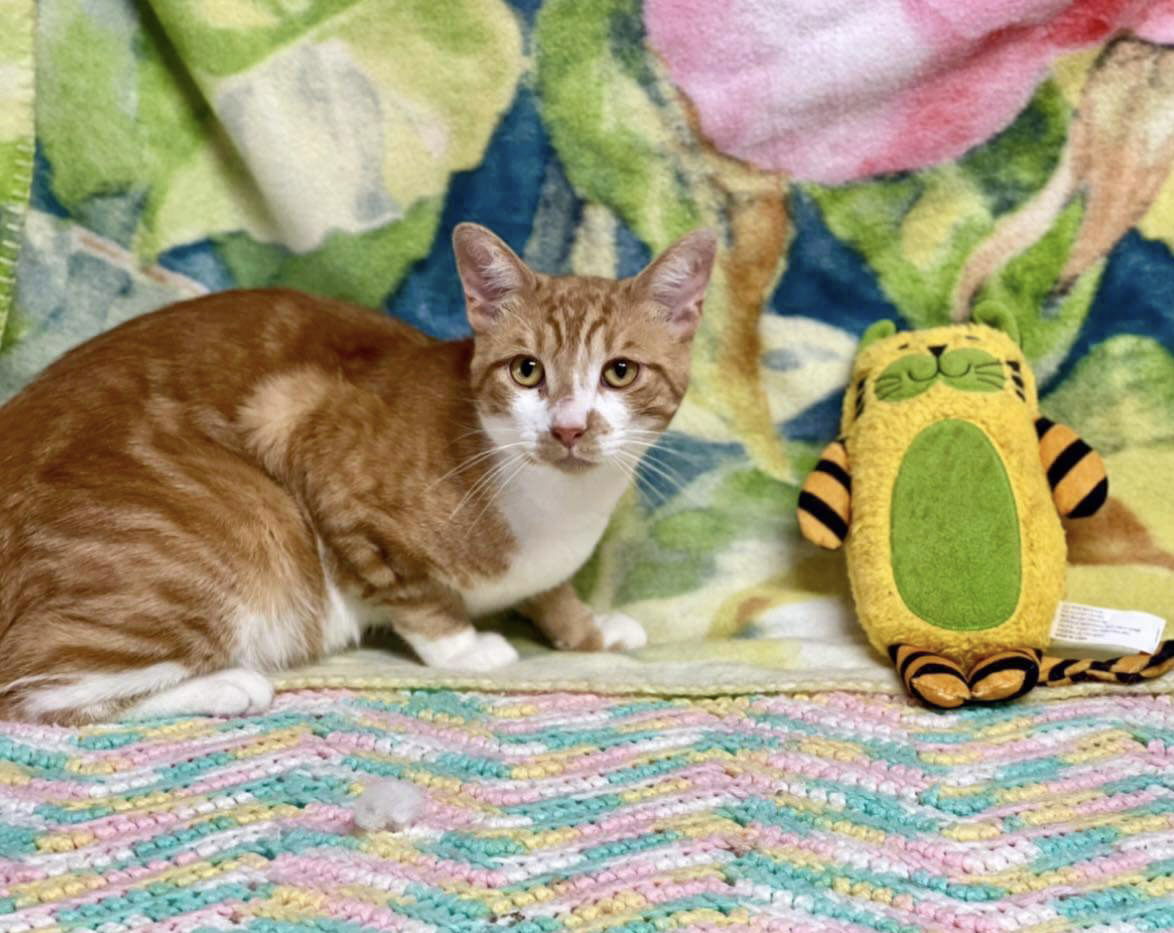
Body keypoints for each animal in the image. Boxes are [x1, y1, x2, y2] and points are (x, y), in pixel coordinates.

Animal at [0, 222, 713, 727]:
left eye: (619, 372)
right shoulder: (305, 435)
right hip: (248, 528)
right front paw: (467, 648)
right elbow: (417, 597)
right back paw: (230, 684)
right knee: (36, 686)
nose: (567, 428)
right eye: (527, 370)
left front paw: (588, 627)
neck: (559, 510)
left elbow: (551, 590)